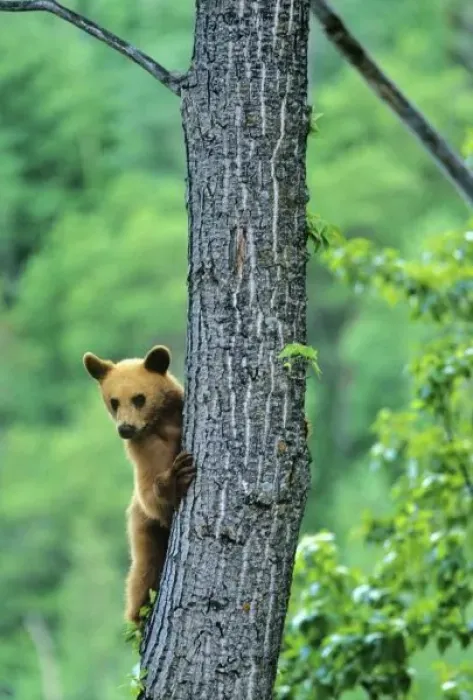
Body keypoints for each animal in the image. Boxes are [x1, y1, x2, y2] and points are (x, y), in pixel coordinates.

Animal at [83, 345, 195, 625]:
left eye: (139, 398)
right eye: (114, 401)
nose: (126, 428)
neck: (162, 424)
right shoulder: (146, 451)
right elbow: (151, 495)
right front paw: (175, 478)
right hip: (144, 530)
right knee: (142, 575)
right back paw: (139, 616)